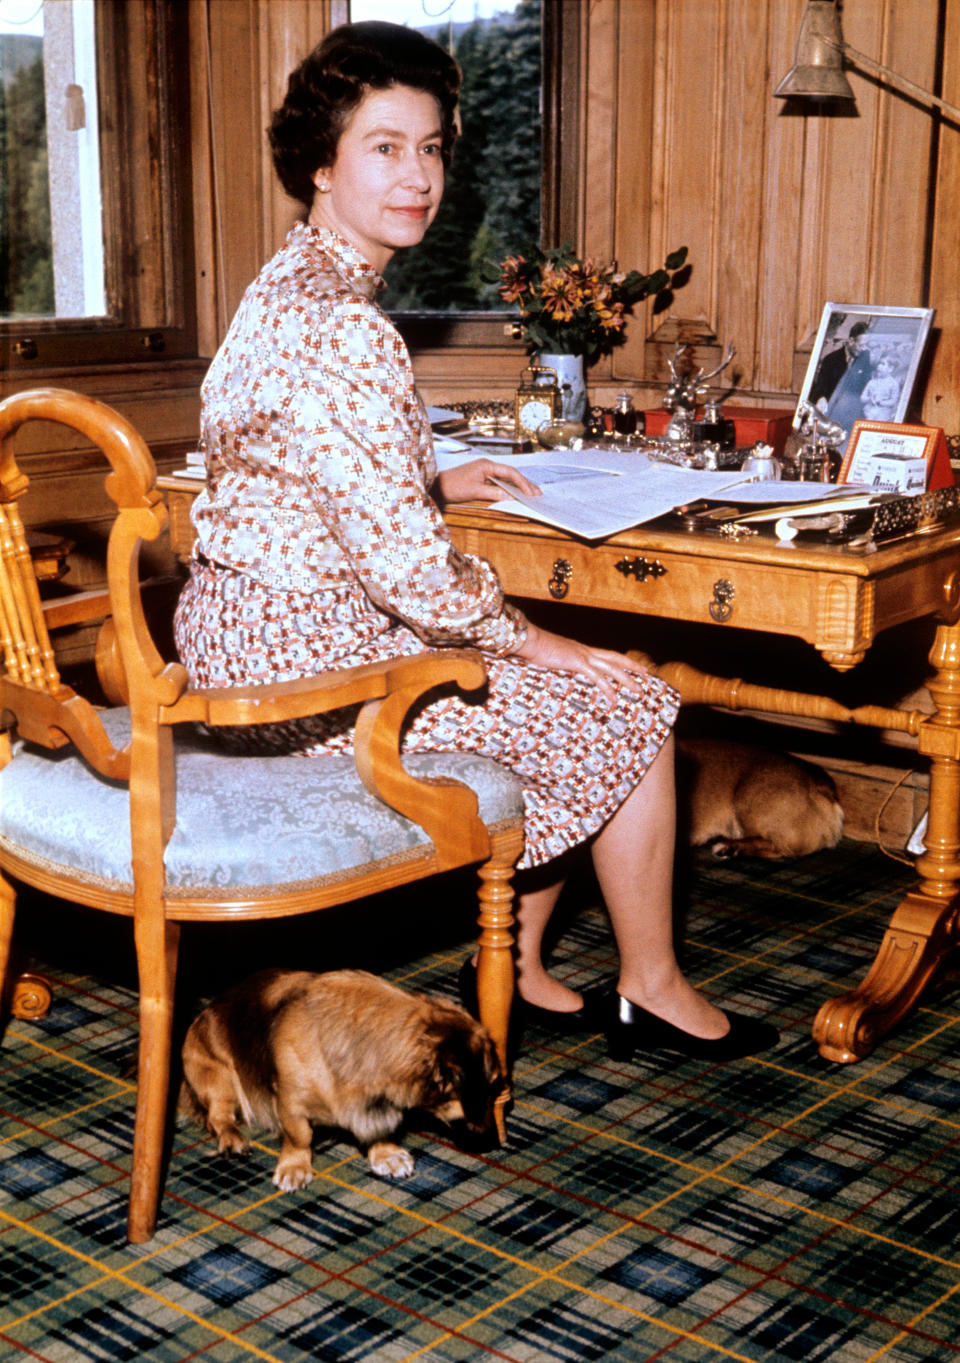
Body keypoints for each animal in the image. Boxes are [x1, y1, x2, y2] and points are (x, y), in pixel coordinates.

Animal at [178, 970, 501, 1193]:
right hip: (218, 1079)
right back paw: (232, 1139)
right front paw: (295, 1167)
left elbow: (378, 1130)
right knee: (218, 1117)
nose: (495, 1140)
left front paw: (385, 1154)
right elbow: (300, 1137)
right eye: (484, 1089)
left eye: (495, 1087)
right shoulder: (291, 1105)